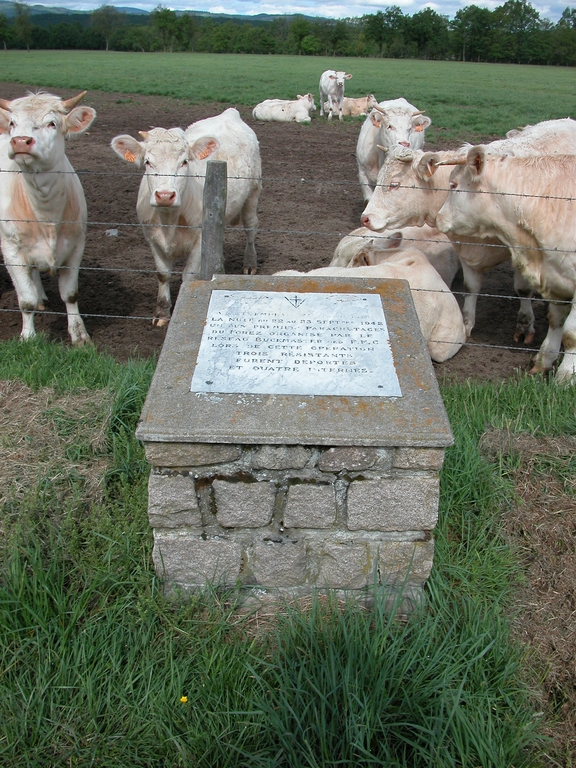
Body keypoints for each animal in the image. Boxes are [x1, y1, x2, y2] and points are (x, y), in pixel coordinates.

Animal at [0, 89, 95, 342]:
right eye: (12, 123)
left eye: (52, 123)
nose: (20, 141)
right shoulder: (11, 249)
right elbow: (26, 300)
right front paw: (28, 337)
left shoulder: (76, 246)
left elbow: (70, 295)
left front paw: (79, 334)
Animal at [111, 107, 264, 324]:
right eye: (148, 162)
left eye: (184, 162)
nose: (165, 195)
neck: (169, 221)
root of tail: (230, 112)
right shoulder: (151, 236)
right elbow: (163, 274)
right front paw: (162, 312)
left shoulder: (199, 239)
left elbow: (189, 276)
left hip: (253, 192)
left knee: (251, 228)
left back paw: (250, 264)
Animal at [436, 149, 576, 380]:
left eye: (454, 184)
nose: (439, 218)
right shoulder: (557, 277)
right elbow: (556, 321)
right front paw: (544, 361)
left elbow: (571, 333)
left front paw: (565, 377)